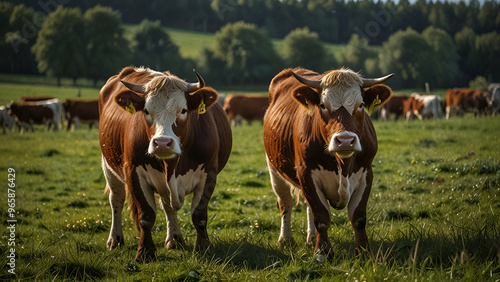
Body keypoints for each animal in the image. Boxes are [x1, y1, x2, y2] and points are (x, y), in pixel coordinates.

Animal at [99, 66, 232, 262]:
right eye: (146, 111)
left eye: (183, 110)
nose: (162, 143)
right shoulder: (133, 171)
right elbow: (146, 215)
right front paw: (145, 252)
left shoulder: (209, 171)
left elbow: (199, 215)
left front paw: (204, 248)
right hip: (108, 166)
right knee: (116, 200)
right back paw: (115, 240)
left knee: (168, 206)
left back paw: (174, 239)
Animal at [262, 67, 394, 262]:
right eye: (323, 106)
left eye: (361, 105)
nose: (345, 141)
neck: (342, 165)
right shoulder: (307, 173)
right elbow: (321, 216)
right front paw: (322, 253)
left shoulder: (366, 173)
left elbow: (358, 218)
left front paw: (363, 253)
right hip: (274, 169)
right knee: (285, 203)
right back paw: (285, 239)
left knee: (307, 206)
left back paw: (310, 239)